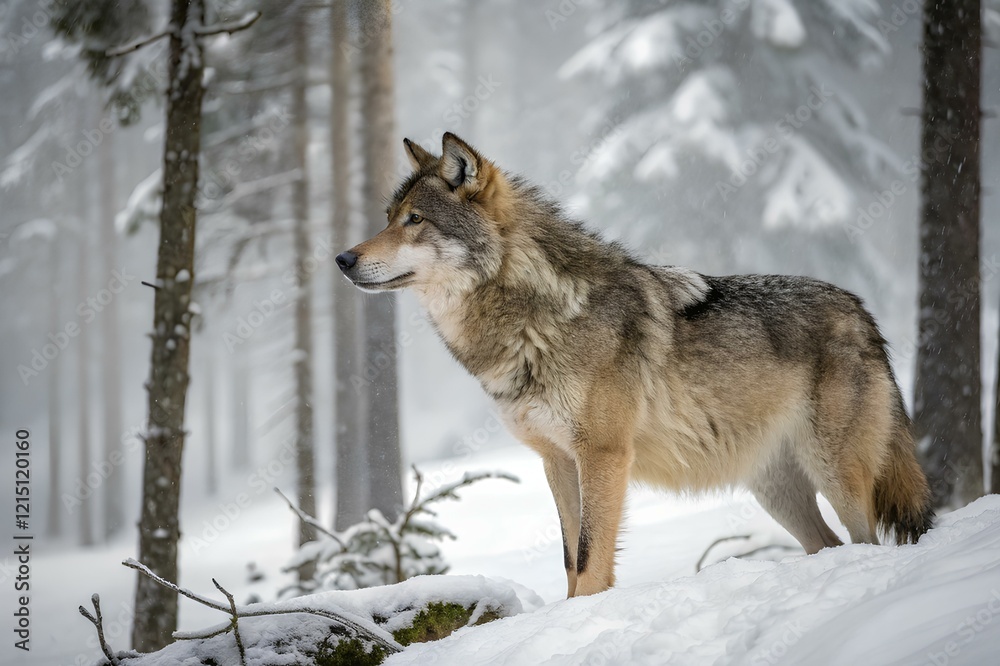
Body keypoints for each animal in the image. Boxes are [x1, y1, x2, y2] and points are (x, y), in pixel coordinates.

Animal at [336, 133, 934, 598]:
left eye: (415, 220)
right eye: (388, 219)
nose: (342, 259)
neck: (535, 315)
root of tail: (860, 310)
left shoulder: (602, 455)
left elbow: (589, 557)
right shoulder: (557, 461)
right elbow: (568, 559)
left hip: (834, 473)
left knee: (867, 540)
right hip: (778, 493)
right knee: (830, 545)